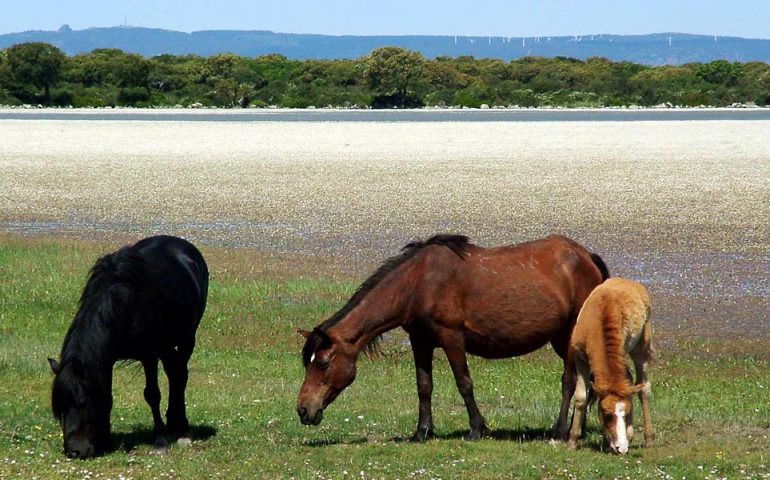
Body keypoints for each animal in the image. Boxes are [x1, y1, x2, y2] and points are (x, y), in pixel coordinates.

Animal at [49, 235, 208, 458]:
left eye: (82, 401)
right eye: (60, 407)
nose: (74, 451)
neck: (123, 302)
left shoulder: (149, 354)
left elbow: (152, 394)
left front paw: (160, 440)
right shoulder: (106, 359)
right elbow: (107, 396)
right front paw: (105, 441)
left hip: (187, 338)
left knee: (180, 377)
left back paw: (182, 429)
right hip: (167, 345)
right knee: (173, 373)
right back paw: (173, 424)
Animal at [294, 234, 608, 440]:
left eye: (323, 363)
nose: (303, 410)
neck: (418, 283)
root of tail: (586, 256)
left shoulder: (452, 337)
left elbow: (464, 383)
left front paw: (477, 429)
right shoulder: (420, 342)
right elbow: (424, 386)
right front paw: (422, 431)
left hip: (570, 334)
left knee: (568, 381)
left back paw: (560, 430)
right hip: (560, 338)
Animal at [564, 278, 656, 454]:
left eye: (628, 413)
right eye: (606, 415)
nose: (622, 448)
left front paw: (623, 438)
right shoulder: (580, 359)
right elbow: (581, 396)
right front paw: (573, 440)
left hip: (641, 348)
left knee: (644, 388)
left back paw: (649, 438)